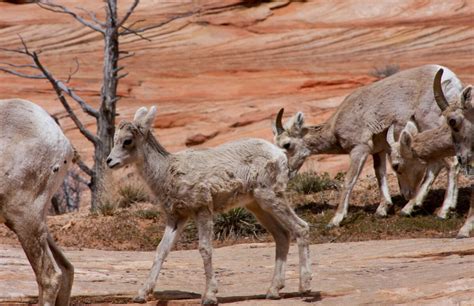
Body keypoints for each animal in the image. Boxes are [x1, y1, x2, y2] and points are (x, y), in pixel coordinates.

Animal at [106, 106, 312, 304]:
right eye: (115, 139)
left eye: (127, 140)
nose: (109, 161)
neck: (167, 171)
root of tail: (280, 154)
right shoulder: (176, 217)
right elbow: (161, 250)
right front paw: (141, 294)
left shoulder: (202, 208)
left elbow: (205, 249)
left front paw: (210, 296)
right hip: (257, 205)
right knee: (282, 235)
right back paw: (273, 291)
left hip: (270, 196)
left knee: (301, 227)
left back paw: (305, 288)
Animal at [272, 64, 462, 227]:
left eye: (287, 145)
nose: (286, 172)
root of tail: (450, 79)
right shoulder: (378, 151)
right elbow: (380, 174)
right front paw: (382, 210)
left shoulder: (359, 149)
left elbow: (349, 180)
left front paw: (335, 220)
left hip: (430, 127)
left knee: (449, 162)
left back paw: (440, 212)